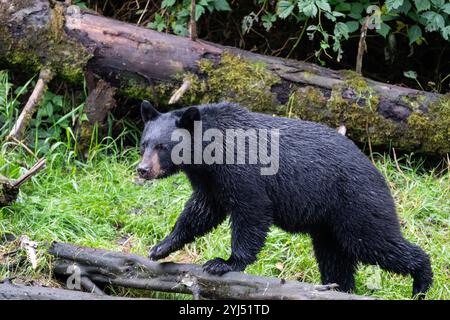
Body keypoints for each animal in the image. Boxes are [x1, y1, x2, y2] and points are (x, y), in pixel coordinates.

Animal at [137, 100, 432, 298]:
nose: (142, 170)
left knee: (375, 241)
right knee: (335, 259)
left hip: (356, 204)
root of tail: (377, 172)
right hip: (328, 224)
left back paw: (421, 281)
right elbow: (200, 212)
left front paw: (224, 262)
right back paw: (338, 289)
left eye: (163, 146)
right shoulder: (210, 182)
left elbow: (251, 212)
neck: (210, 154)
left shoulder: (241, 172)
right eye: (144, 144)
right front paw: (161, 246)